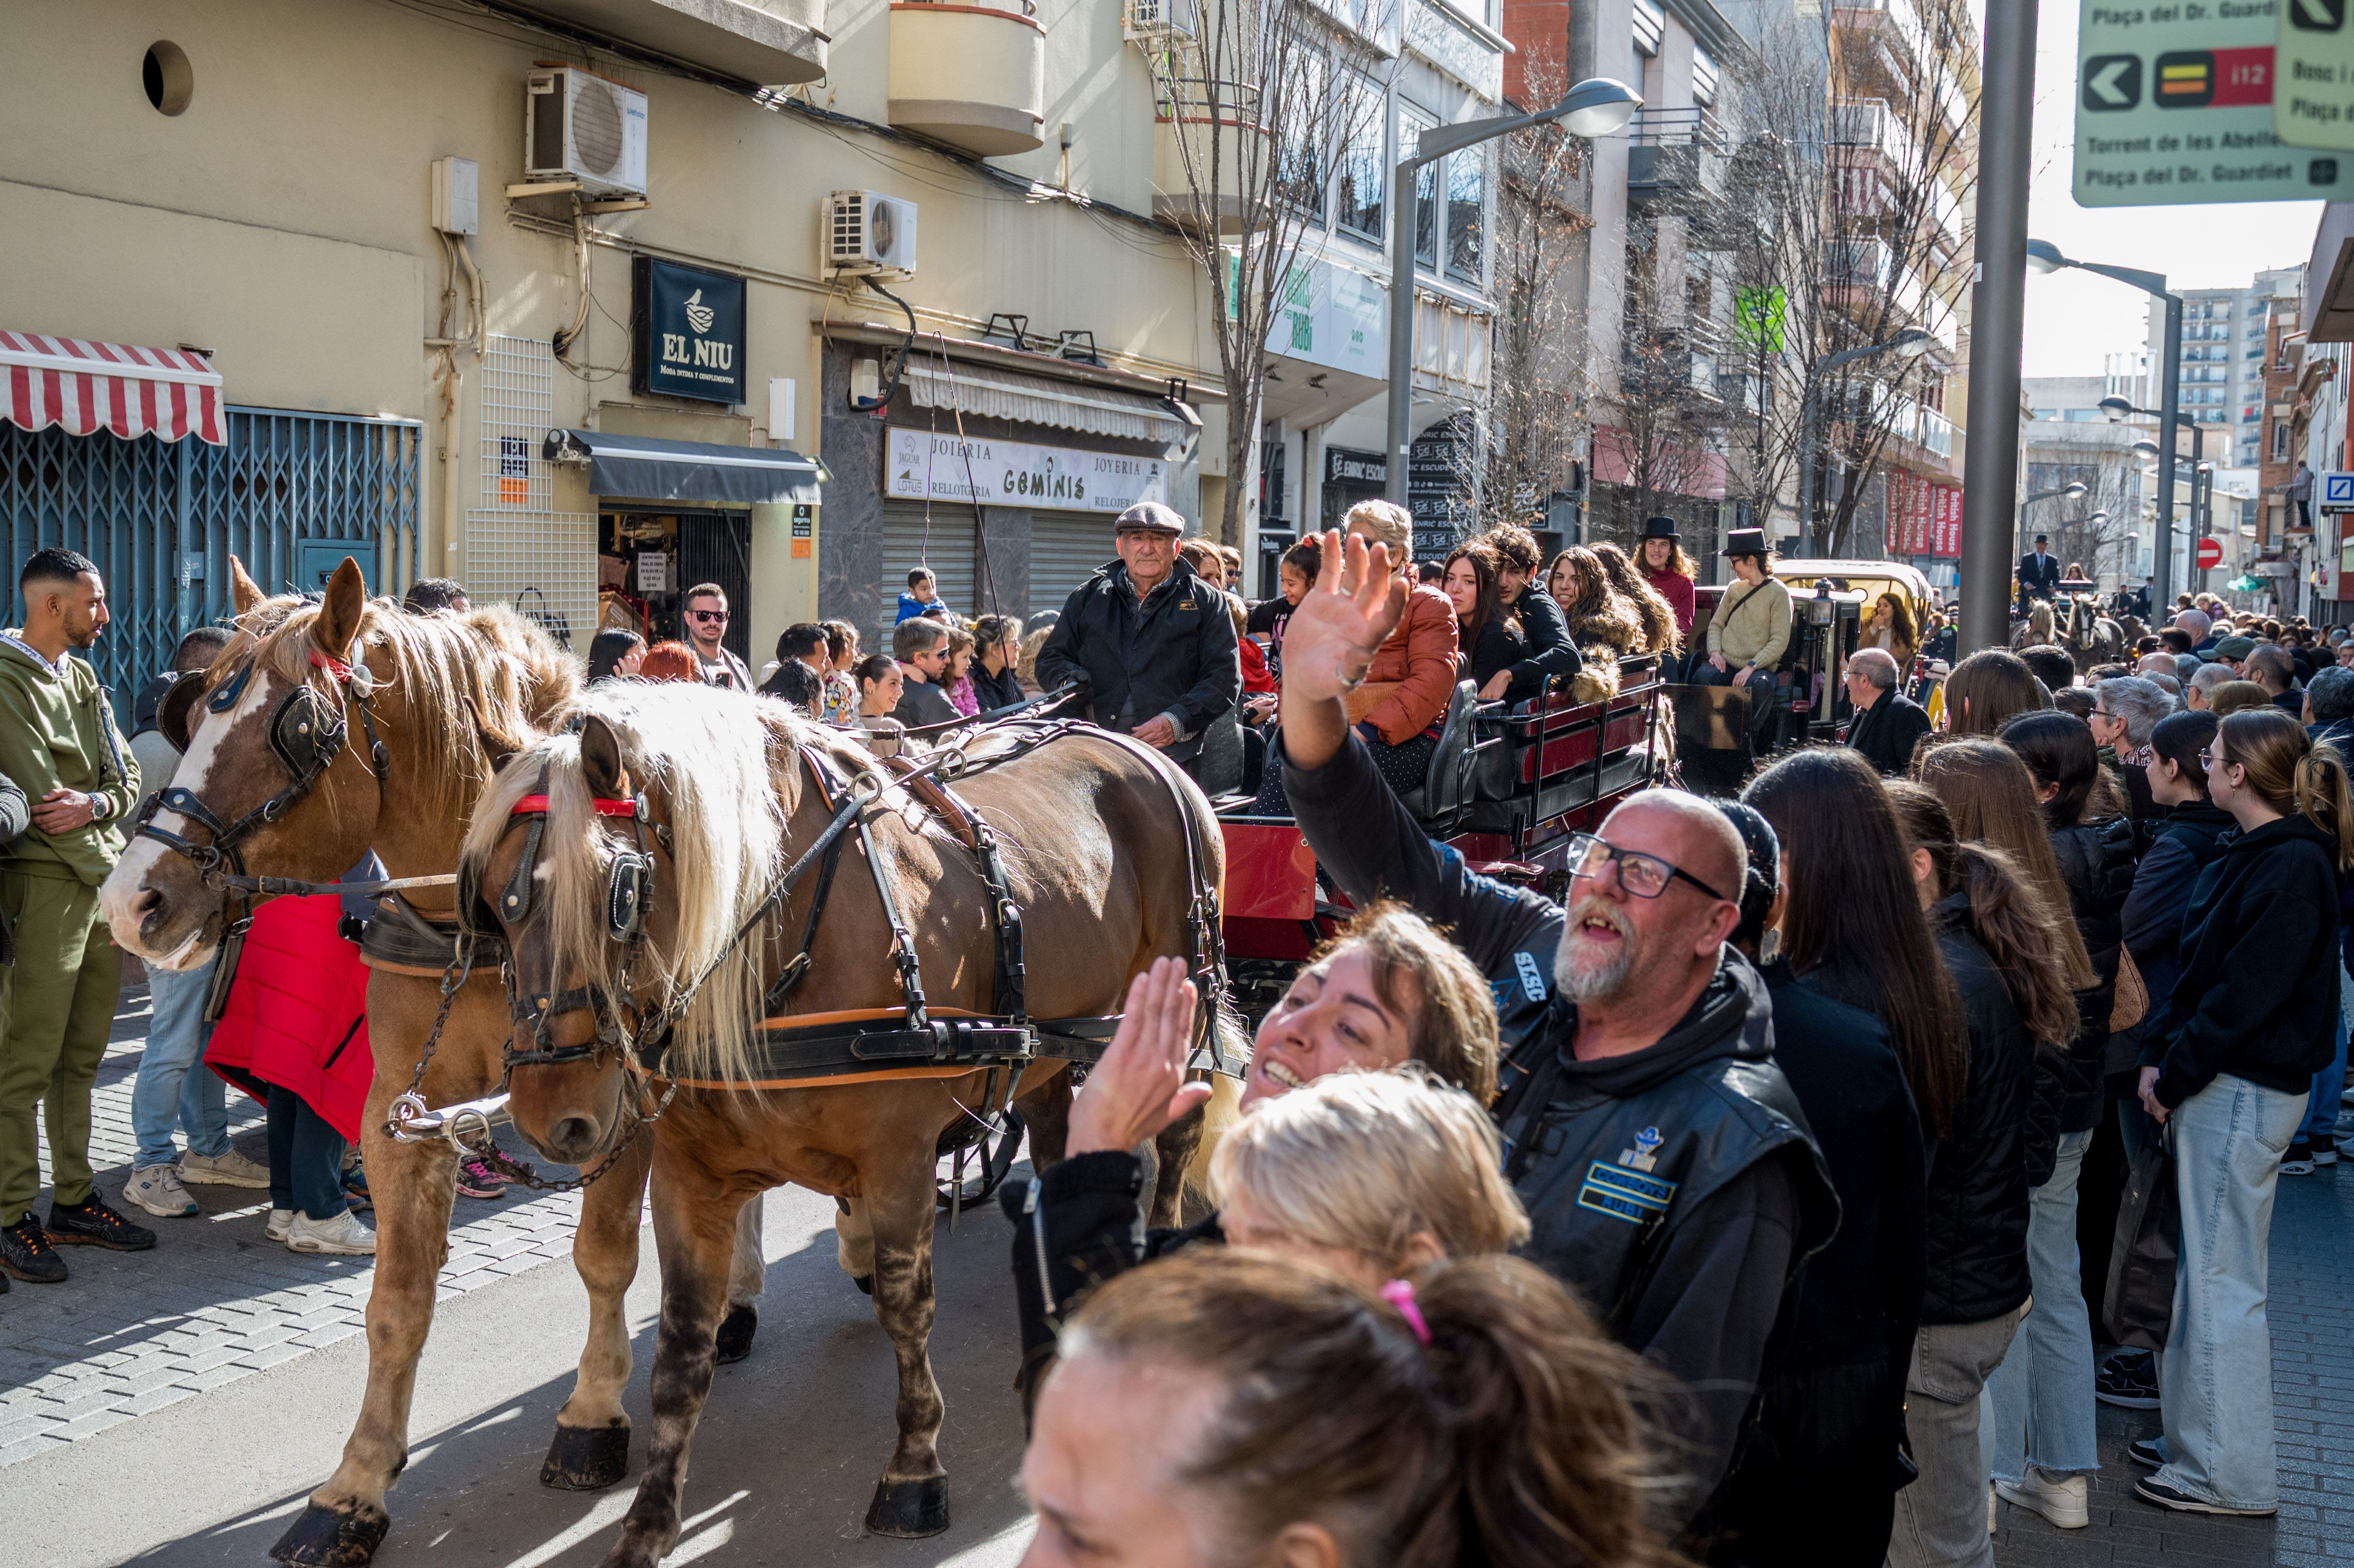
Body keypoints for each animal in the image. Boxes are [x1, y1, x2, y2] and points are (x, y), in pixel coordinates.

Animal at [94, 565, 763, 1563]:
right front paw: (353, 1490)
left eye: (297, 729)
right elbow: (396, 1303)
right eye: (195, 711)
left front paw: (592, 1414)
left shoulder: (618, 1103)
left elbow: (604, 1255)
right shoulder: (400, 1116)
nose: (129, 902)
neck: (484, 923)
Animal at [454, 678, 1233, 1553]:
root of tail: (1136, 746)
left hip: (1180, 1007)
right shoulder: (691, 1176)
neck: (788, 946)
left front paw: (915, 1470)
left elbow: (905, 1308)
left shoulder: (899, 1161)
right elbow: (682, 1343)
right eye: (488, 905)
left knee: (1177, 1136)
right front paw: (648, 1518)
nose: (549, 1116)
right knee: (1061, 1137)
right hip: (1043, 1045)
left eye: (620, 891)